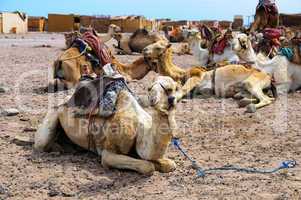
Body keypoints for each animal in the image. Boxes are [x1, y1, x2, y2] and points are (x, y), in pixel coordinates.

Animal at [35, 76, 180, 175]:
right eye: (149, 88)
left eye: (170, 89)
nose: (153, 100)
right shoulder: (108, 153)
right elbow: (148, 166)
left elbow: (170, 164)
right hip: (53, 114)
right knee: (41, 144)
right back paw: (57, 149)